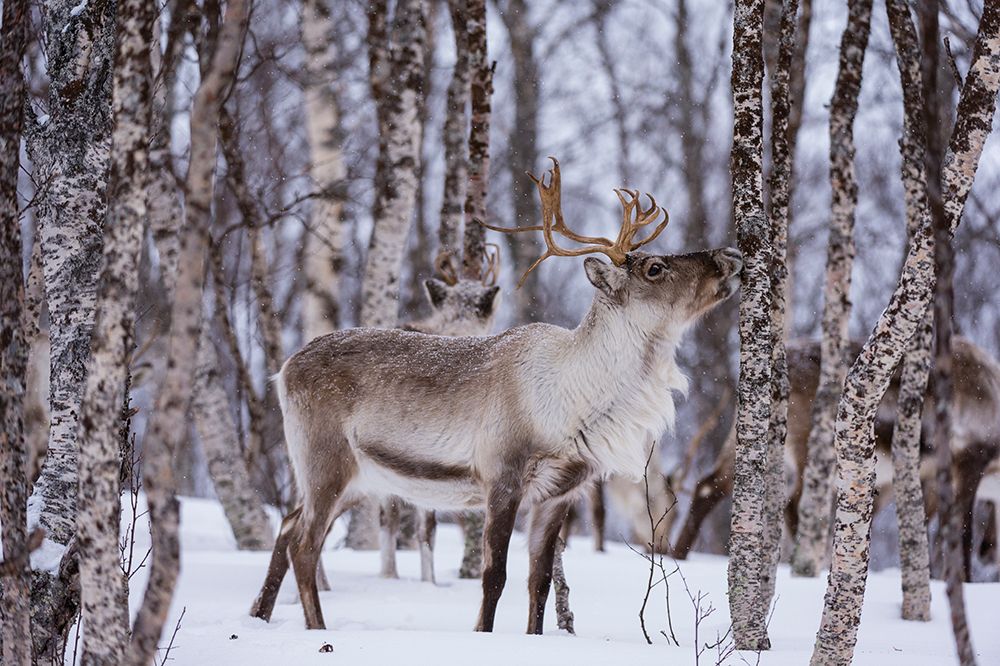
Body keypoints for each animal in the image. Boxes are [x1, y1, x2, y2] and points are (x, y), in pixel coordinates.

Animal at [248, 157, 744, 633]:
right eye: (654, 268)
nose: (731, 254)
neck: (577, 402)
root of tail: (283, 370)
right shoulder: (502, 475)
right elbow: (494, 577)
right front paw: (484, 634)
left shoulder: (560, 493)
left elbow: (539, 581)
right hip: (326, 461)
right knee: (304, 543)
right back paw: (316, 628)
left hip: (356, 478)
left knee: (287, 524)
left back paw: (260, 615)